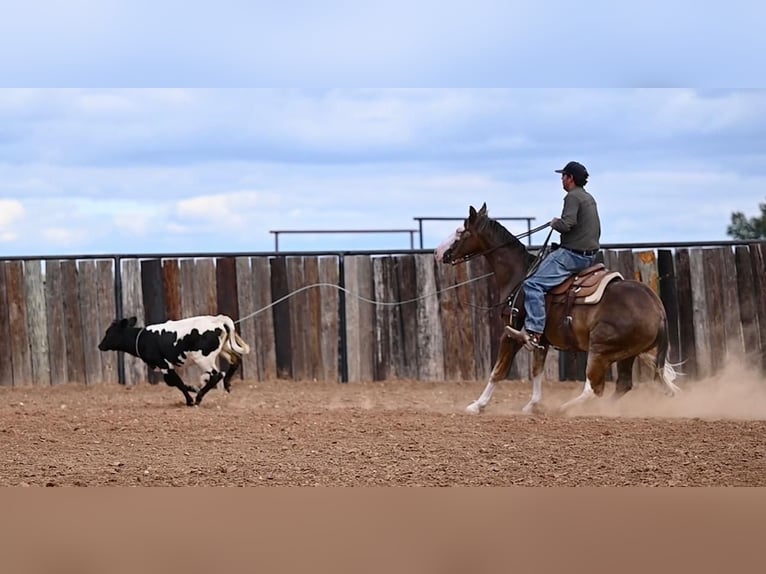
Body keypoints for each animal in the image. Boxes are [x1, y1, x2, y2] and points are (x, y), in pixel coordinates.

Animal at [99, 316, 252, 410]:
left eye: (109, 332)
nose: (100, 345)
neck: (143, 338)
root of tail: (217, 320)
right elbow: (175, 382)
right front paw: (192, 389)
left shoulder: (164, 365)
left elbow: (175, 382)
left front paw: (191, 398)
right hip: (224, 349)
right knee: (236, 360)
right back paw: (227, 385)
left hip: (203, 359)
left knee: (217, 374)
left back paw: (198, 398)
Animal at [436, 205, 680, 416]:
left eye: (461, 231)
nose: (439, 253)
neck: (520, 274)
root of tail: (658, 310)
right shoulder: (540, 339)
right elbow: (537, 371)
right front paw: (532, 405)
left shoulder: (511, 333)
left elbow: (498, 371)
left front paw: (477, 405)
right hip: (626, 354)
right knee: (623, 385)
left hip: (600, 348)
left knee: (594, 387)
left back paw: (565, 408)